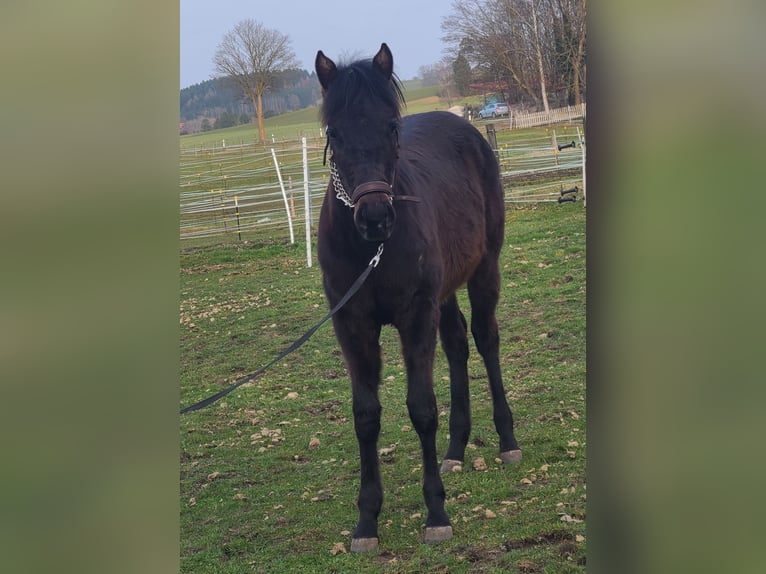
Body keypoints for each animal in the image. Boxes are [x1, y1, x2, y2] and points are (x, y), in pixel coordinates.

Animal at [315, 43, 521, 553]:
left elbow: (422, 408)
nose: (374, 217)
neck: (370, 250)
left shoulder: (415, 315)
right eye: (333, 131)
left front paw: (436, 513)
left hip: (483, 271)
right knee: (457, 344)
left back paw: (507, 441)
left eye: (392, 125)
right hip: (444, 295)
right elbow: (366, 415)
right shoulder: (352, 324)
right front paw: (366, 521)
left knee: (485, 340)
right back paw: (456, 449)